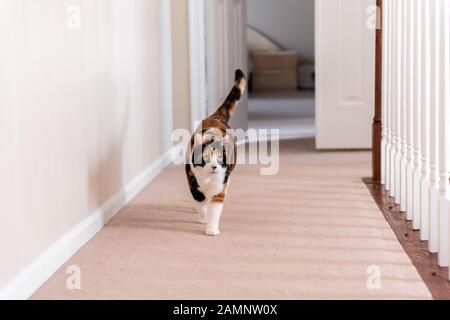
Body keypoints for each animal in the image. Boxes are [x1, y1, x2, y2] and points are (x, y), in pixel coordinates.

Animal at [185, 69, 246, 235]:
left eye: (219, 158)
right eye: (205, 158)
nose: (213, 167)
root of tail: (216, 116)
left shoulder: (219, 188)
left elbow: (214, 209)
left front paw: (211, 229)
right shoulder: (192, 179)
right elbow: (200, 200)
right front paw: (203, 217)